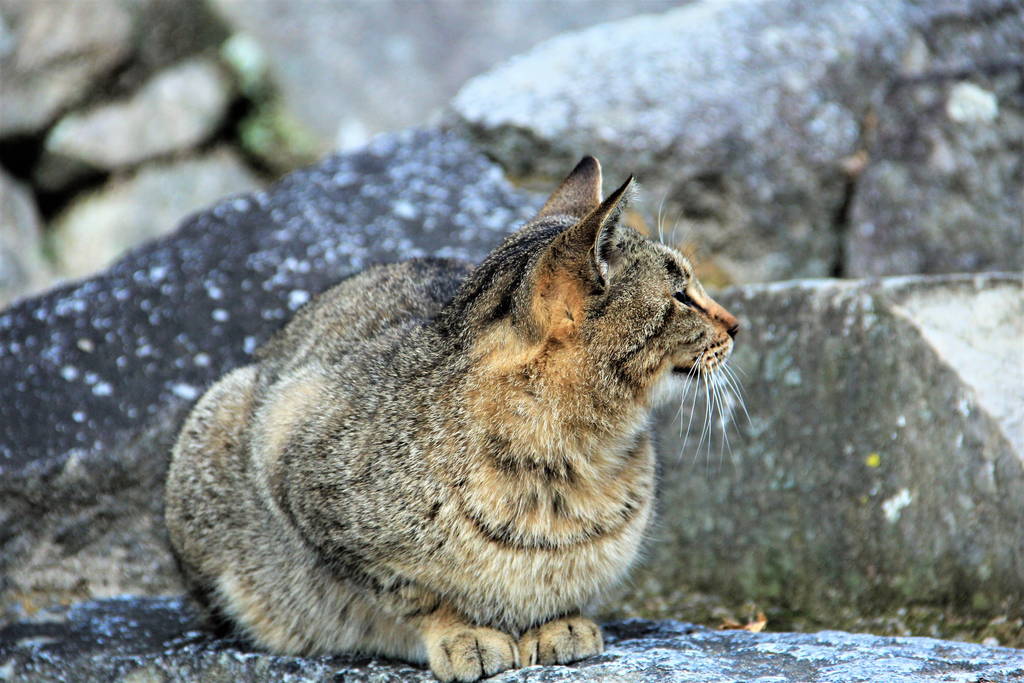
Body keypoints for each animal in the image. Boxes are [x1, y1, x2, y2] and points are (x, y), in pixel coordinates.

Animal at [165, 156, 737, 683]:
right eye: (682, 295)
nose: (736, 324)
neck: (567, 457)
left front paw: (559, 622)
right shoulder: (292, 449)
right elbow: (412, 592)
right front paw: (462, 632)